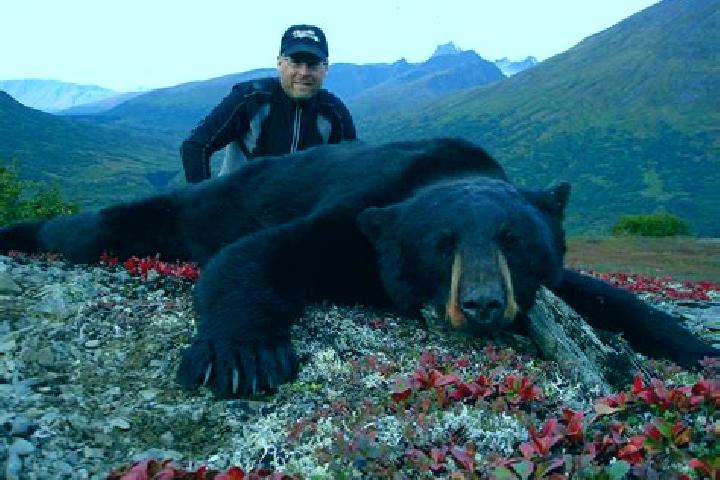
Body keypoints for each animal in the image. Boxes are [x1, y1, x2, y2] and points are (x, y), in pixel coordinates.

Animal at [0, 138, 716, 398]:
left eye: (513, 240)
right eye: (442, 243)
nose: (483, 304)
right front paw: (244, 354)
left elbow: (608, 297)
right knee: (93, 228)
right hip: (184, 209)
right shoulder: (357, 216)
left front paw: (697, 348)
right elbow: (253, 254)